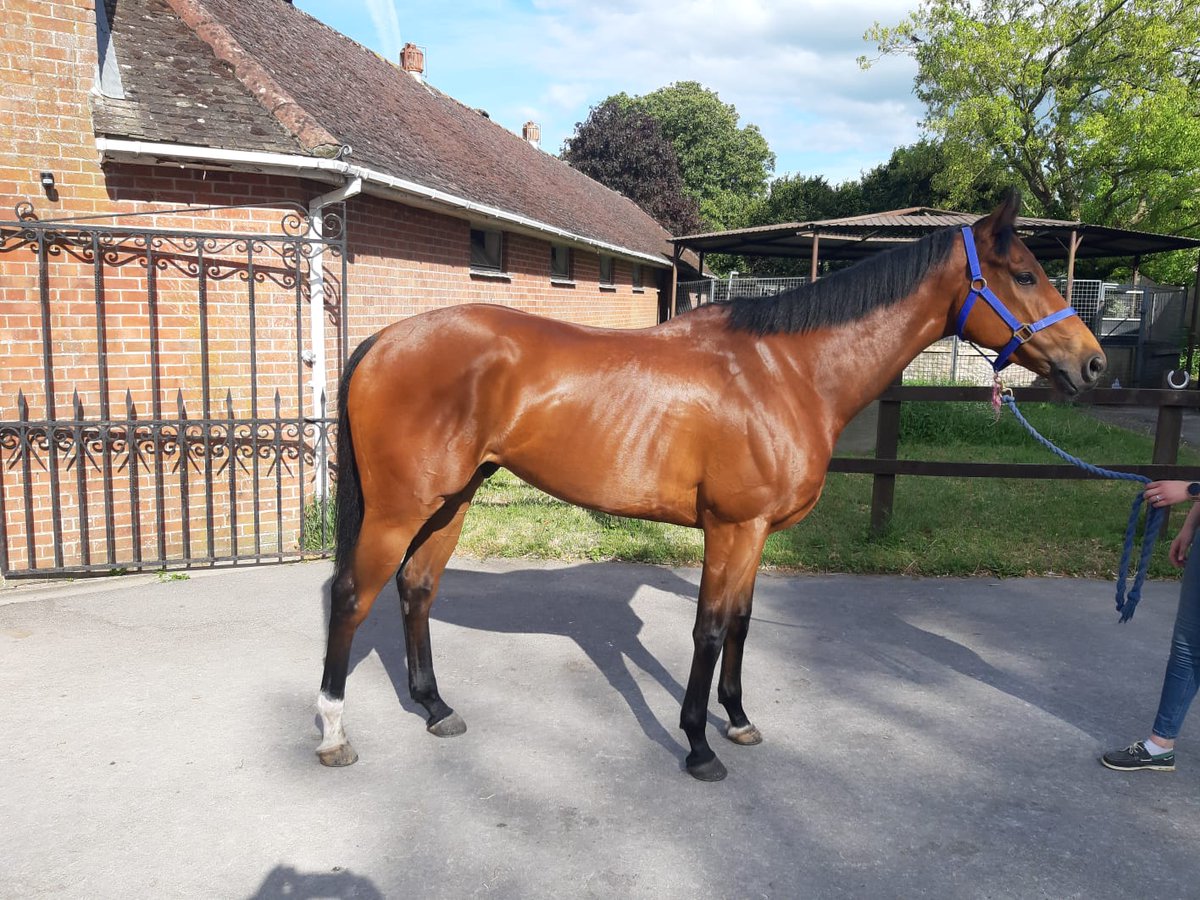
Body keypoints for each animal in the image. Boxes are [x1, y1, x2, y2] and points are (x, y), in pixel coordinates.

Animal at [316, 192, 1105, 781]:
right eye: (1024, 275)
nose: (1093, 365)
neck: (786, 372)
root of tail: (385, 339)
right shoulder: (732, 528)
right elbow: (710, 628)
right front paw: (697, 746)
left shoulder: (755, 535)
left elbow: (743, 623)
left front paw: (740, 721)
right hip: (400, 509)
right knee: (352, 597)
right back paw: (331, 733)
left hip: (452, 500)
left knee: (416, 588)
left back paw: (436, 708)